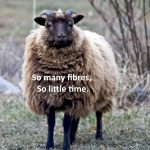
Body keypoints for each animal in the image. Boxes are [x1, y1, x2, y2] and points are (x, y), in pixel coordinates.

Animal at [22, 8, 119, 149]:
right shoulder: (48, 97)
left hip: (102, 92)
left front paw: (65, 146)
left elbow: (66, 123)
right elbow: (51, 123)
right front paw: (50, 144)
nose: (61, 36)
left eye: (70, 23)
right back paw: (73, 138)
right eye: (48, 24)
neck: (57, 70)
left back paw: (98, 136)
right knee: (76, 117)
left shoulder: (71, 98)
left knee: (99, 114)